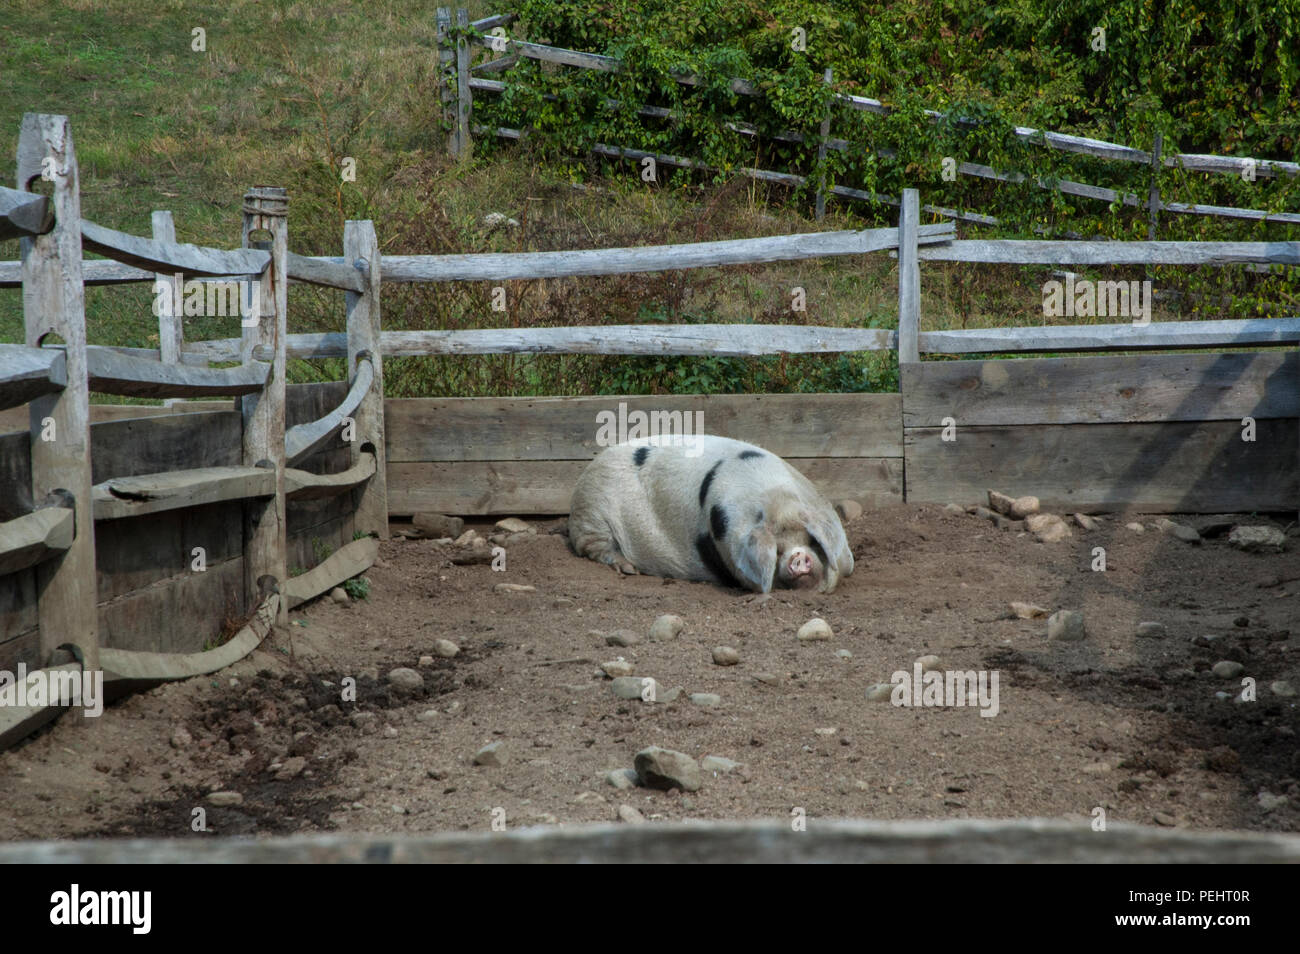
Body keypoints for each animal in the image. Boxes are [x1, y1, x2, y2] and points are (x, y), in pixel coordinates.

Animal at [569, 436, 852, 595]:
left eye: (810, 540)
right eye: (777, 550)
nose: (798, 557)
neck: (776, 501)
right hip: (592, 514)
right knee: (594, 547)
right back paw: (629, 570)